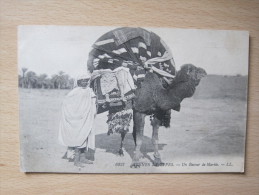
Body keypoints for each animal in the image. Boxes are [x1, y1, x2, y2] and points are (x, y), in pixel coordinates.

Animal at [88, 27, 208, 168]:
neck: (157, 94)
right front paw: (135, 162)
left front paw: (157, 160)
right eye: (195, 70)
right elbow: (139, 138)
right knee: (122, 129)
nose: (205, 71)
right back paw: (119, 152)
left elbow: (154, 138)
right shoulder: (139, 111)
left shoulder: (156, 113)